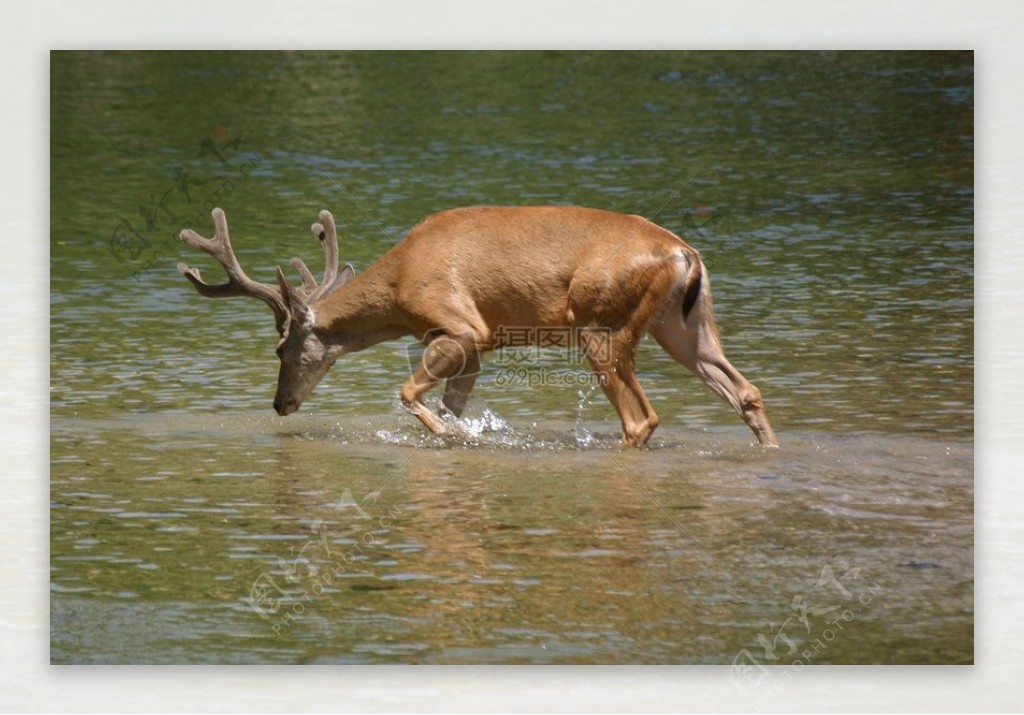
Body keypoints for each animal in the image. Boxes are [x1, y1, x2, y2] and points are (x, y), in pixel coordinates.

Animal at [180, 202, 778, 446]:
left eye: (280, 350)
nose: (280, 404)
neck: (399, 285)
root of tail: (684, 253)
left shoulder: (461, 327)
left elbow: (409, 394)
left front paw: (449, 436)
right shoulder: (473, 349)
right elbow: (451, 402)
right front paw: (459, 433)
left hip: (603, 325)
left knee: (642, 419)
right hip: (683, 324)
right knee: (744, 390)